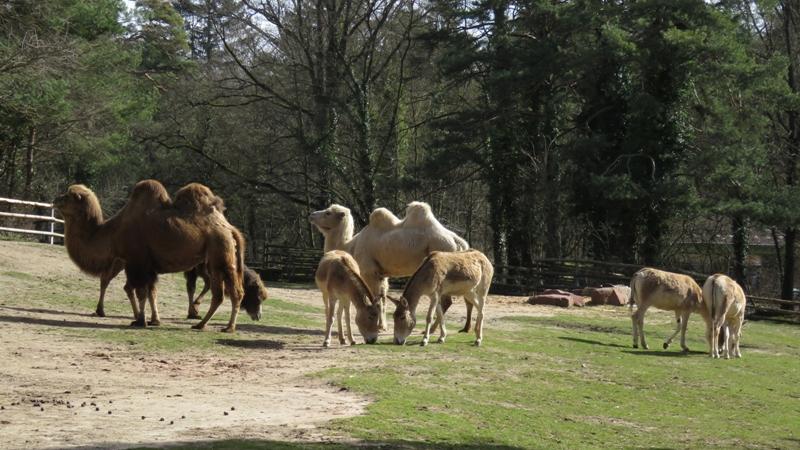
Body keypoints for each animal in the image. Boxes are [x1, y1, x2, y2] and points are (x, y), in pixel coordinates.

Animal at [54, 181, 247, 332]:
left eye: (68, 196)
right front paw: (154, 320)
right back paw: (213, 325)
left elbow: (141, 292)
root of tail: (229, 228)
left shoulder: (136, 261)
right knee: (228, 292)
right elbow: (152, 292)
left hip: (219, 253)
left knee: (227, 293)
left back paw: (216, 326)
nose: (55, 199)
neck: (112, 232)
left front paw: (140, 321)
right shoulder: (149, 265)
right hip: (221, 256)